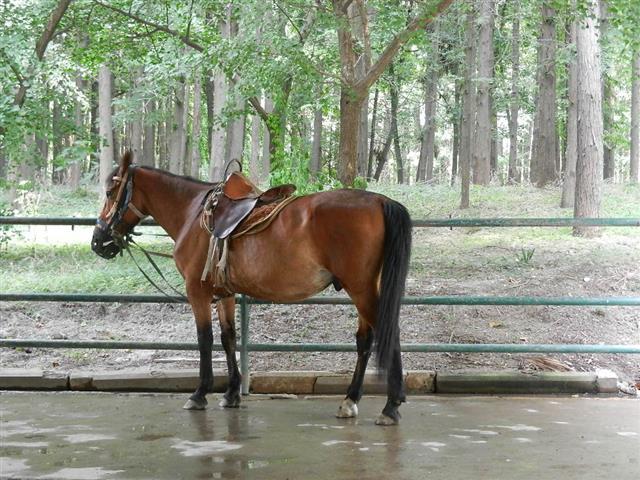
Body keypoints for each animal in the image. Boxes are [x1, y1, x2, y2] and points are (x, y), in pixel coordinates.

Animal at [90, 152, 412, 426]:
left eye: (109, 193)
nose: (98, 242)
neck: (193, 214)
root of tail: (380, 201)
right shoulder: (225, 294)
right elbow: (228, 337)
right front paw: (232, 392)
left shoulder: (197, 291)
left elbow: (205, 340)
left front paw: (200, 393)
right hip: (364, 289)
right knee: (365, 341)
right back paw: (350, 400)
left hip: (361, 290)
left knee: (387, 332)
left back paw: (391, 405)